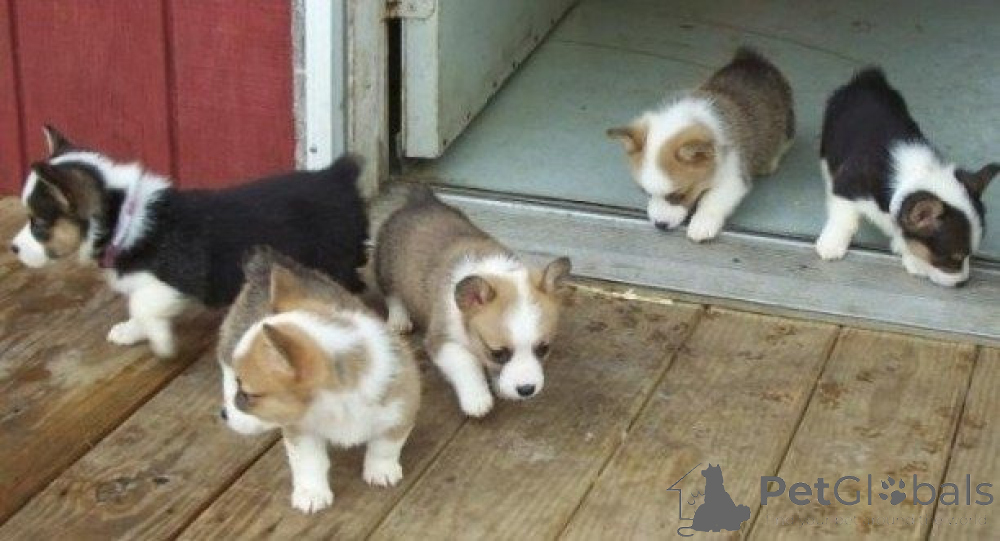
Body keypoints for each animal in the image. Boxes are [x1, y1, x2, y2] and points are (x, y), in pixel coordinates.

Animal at [10, 126, 368, 357]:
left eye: (39, 224)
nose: (13, 248)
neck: (122, 220)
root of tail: (337, 175)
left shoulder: (174, 283)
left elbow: (142, 304)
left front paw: (160, 342)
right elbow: (138, 305)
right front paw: (130, 331)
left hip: (332, 259)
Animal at [219, 248, 420, 513]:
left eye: (250, 395)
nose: (223, 415)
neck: (339, 400)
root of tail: (264, 265)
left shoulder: (400, 412)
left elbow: (385, 446)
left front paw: (381, 471)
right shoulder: (300, 430)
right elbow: (309, 463)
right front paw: (312, 493)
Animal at [374, 187, 571, 417]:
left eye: (543, 349)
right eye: (497, 353)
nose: (526, 390)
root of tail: (420, 201)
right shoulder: (443, 341)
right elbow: (466, 364)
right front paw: (477, 398)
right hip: (386, 266)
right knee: (392, 294)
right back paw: (399, 319)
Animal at [608, 47, 794, 242]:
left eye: (679, 195)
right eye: (645, 192)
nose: (660, 225)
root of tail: (753, 60)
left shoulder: (733, 177)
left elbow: (713, 200)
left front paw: (702, 224)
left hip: (787, 120)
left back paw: (769, 162)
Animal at [816, 68, 997, 287]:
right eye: (950, 258)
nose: (962, 284)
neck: (914, 176)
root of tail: (867, 79)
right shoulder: (847, 187)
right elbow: (844, 217)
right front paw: (831, 245)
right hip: (830, 135)